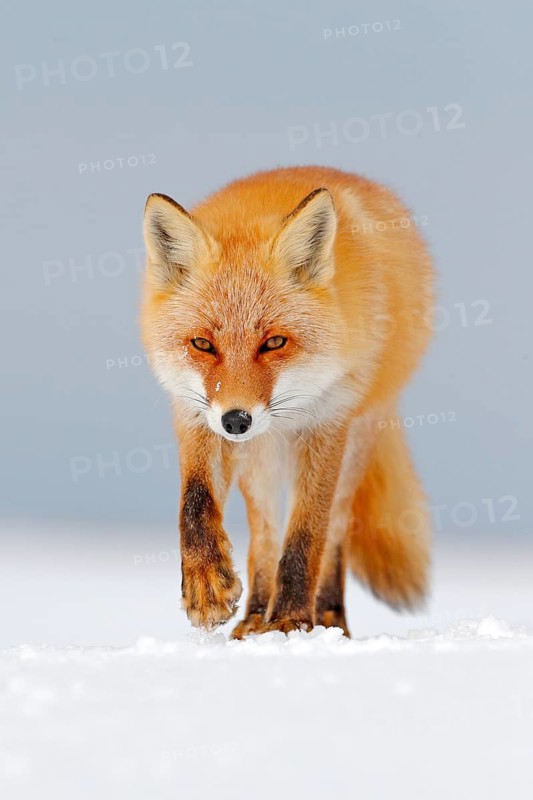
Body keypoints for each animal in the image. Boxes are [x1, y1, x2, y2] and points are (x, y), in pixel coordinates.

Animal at [141, 165, 434, 638]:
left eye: (274, 342)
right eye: (203, 344)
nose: (236, 420)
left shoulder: (329, 420)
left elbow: (307, 534)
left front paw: (291, 620)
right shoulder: (194, 414)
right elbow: (195, 502)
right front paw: (206, 585)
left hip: (357, 439)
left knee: (334, 529)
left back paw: (327, 617)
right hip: (260, 460)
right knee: (263, 535)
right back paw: (255, 615)